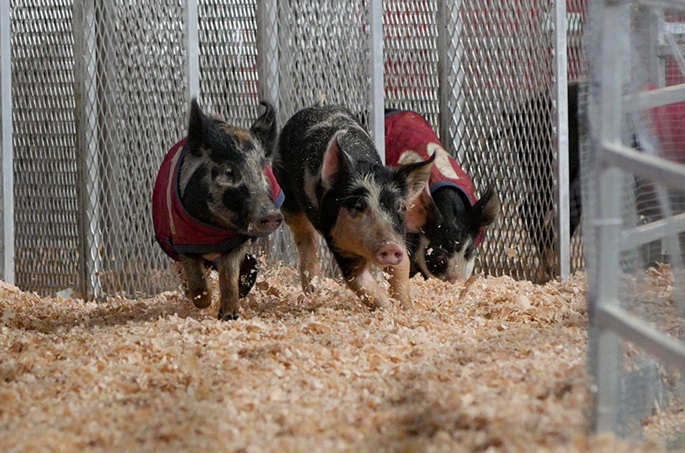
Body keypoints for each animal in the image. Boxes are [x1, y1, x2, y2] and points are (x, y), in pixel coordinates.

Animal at [152, 99, 284, 321]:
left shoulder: (238, 240)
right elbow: (196, 277)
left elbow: (228, 276)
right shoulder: (182, 239)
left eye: (261, 170)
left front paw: (229, 315)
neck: (215, 228)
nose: (271, 214)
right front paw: (204, 303)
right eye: (229, 171)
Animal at [273, 104, 434, 310]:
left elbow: (401, 271)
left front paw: (407, 310)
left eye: (400, 206)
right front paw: (388, 310)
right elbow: (361, 283)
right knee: (306, 238)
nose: (390, 247)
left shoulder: (399, 237)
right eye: (358, 205)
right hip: (287, 193)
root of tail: (315, 106)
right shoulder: (338, 242)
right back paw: (313, 292)